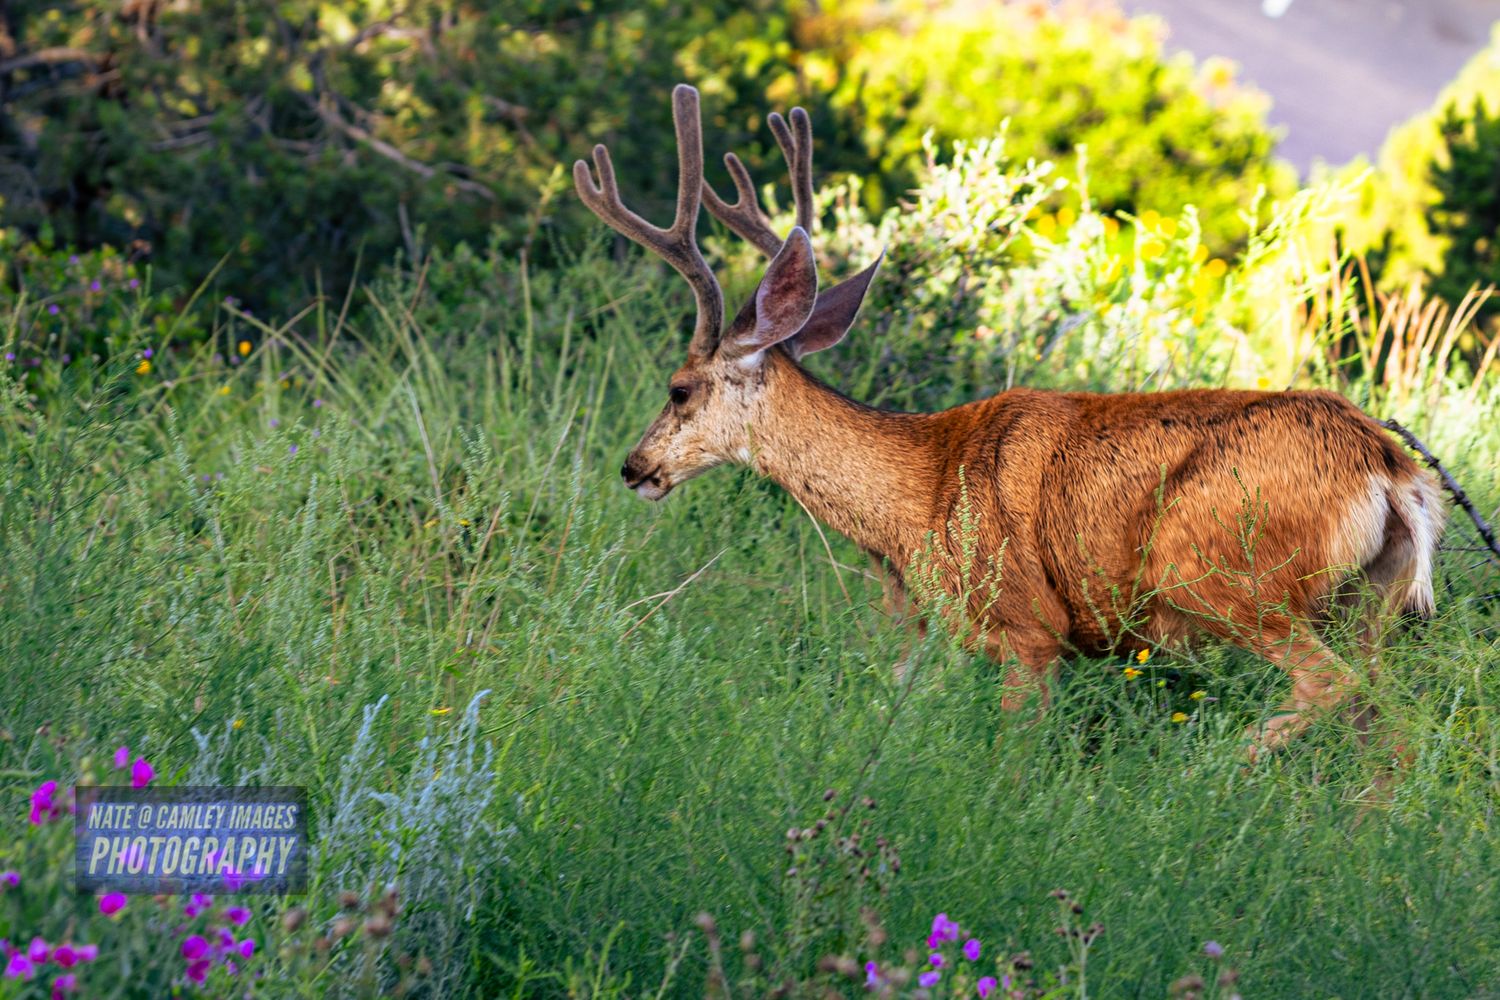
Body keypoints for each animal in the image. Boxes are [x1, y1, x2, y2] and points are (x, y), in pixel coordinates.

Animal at [573, 84, 1445, 761]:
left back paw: (1217, 770)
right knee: (1389, 728)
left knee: (1329, 686)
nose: (633, 466)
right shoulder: (936, 631)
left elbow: (1015, 752)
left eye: (679, 388)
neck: (916, 501)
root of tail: (1391, 472)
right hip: (1366, 602)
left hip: (1223, 572)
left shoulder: (1030, 627)